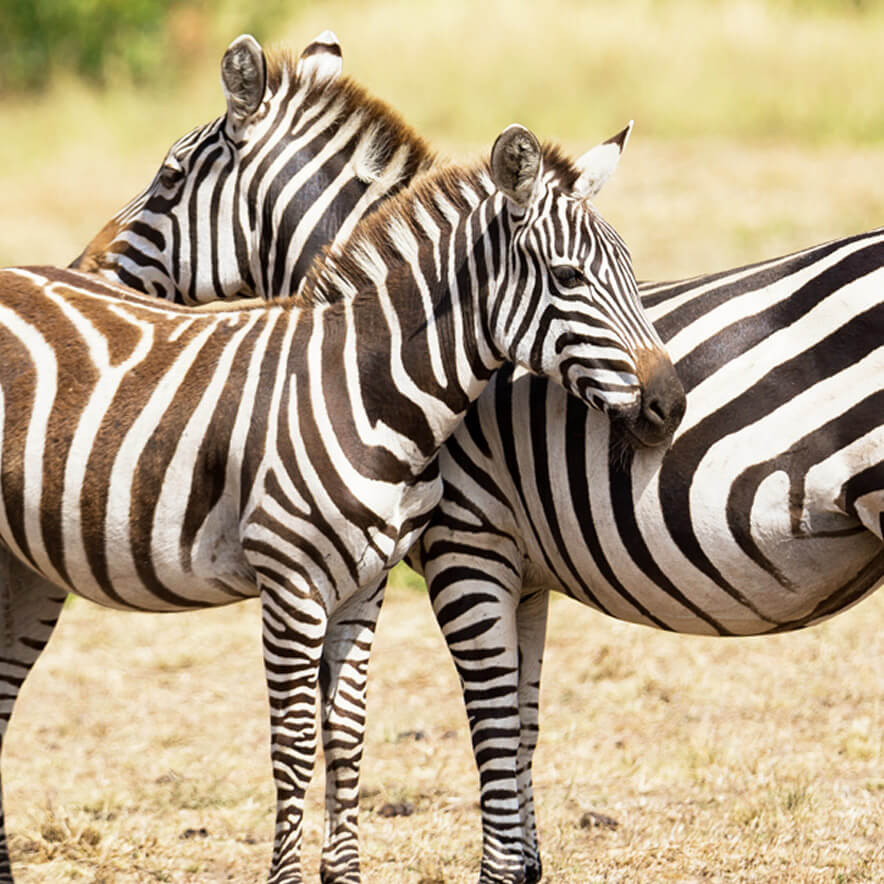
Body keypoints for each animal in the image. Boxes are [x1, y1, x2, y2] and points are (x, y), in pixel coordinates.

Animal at [0, 122, 684, 884]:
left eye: (630, 271)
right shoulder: (291, 584)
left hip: (23, 570)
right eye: (568, 278)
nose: (671, 404)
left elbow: (348, 733)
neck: (361, 385)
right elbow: (296, 744)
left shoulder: (366, 583)